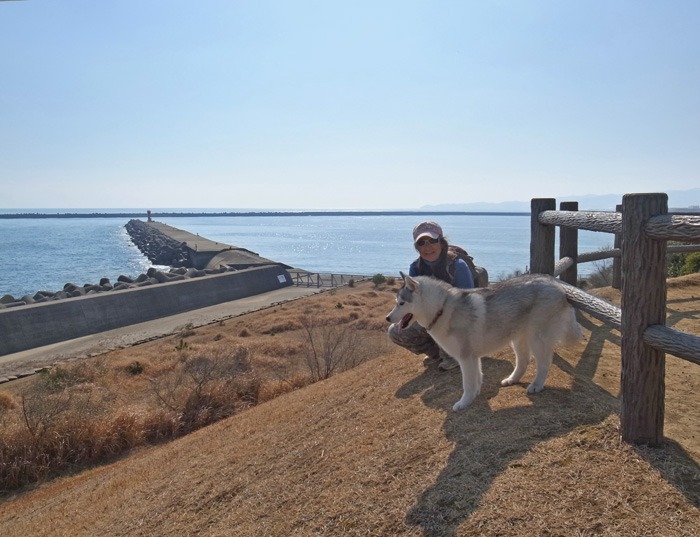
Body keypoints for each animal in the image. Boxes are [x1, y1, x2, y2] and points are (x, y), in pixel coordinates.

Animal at [386, 272, 584, 410]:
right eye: (396, 302)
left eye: (401, 303)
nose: (387, 318)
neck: (442, 309)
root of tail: (556, 284)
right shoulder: (473, 358)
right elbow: (476, 379)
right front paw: (474, 396)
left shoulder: (465, 358)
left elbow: (467, 384)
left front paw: (464, 403)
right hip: (518, 339)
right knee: (523, 361)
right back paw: (512, 379)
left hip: (537, 339)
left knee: (544, 363)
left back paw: (537, 385)